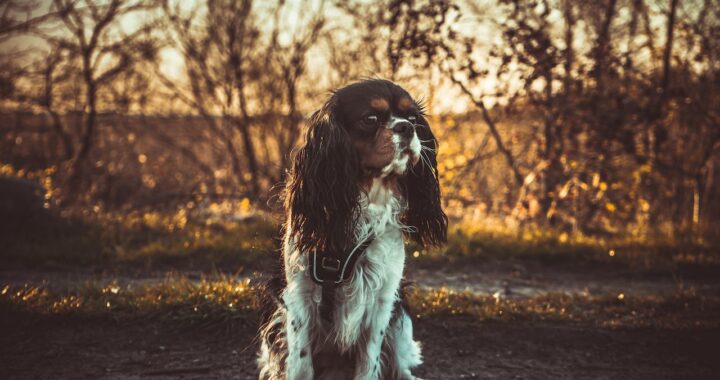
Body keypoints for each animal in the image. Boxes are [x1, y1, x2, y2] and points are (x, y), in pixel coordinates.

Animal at [258, 78, 448, 378]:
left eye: (413, 119)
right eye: (370, 119)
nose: (406, 127)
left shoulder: (382, 299)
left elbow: (369, 361)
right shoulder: (300, 295)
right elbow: (300, 363)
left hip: (401, 320)